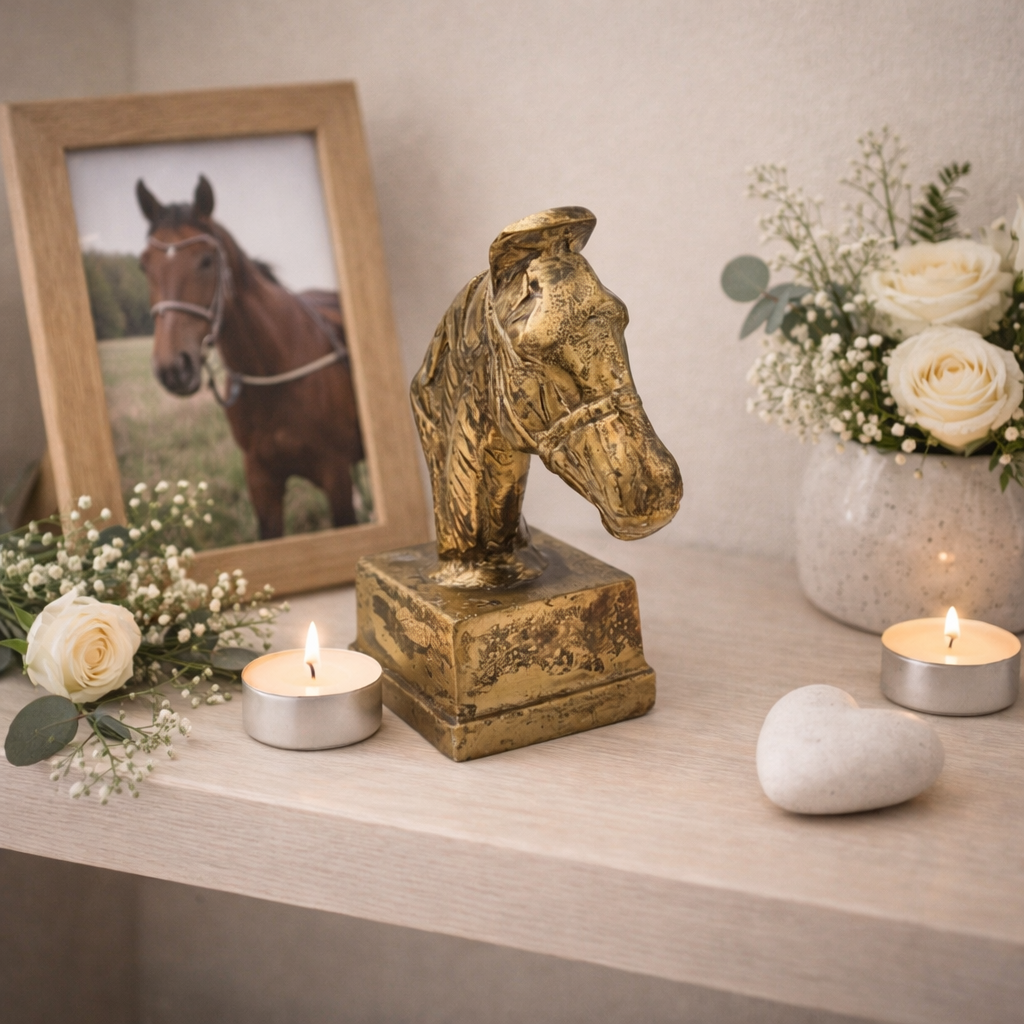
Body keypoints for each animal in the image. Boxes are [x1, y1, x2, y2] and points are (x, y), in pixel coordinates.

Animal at [135, 176, 364, 540]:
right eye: (144, 265)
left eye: (206, 260)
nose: (173, 368)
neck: (274, 372)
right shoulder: (261, 480)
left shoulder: (336, 475)